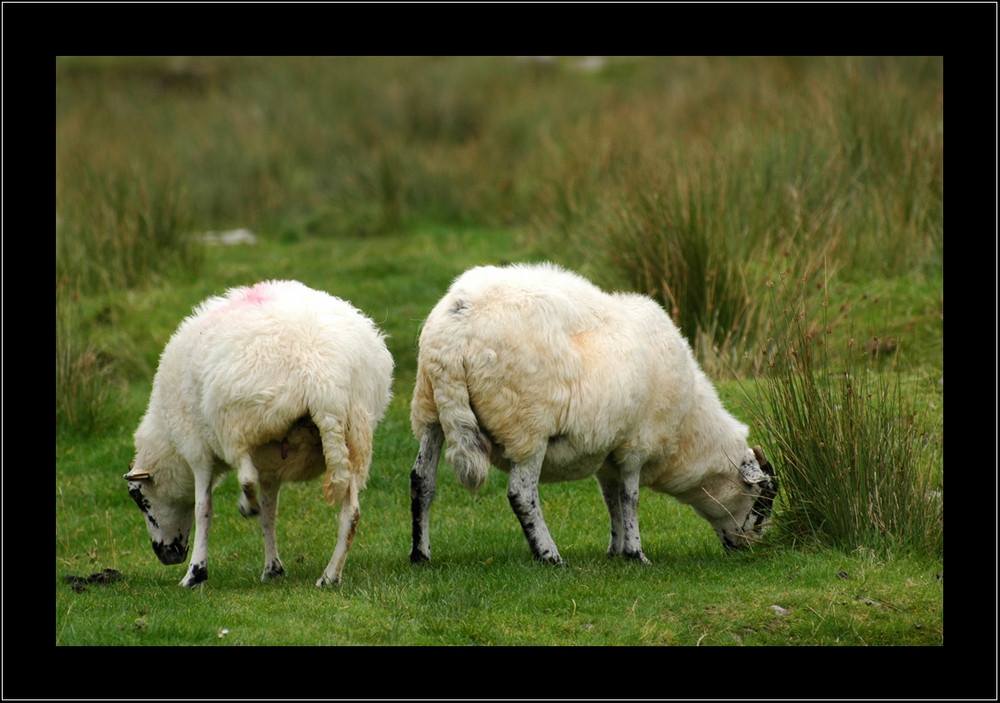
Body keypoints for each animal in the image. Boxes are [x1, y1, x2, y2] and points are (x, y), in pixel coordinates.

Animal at [123, 280, 392, 588]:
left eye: (139, 498)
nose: (167, 556)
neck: (168, 442)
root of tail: (324, 379)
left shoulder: (197, 449)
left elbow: (204, 509)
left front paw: (195, 573)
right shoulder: (273, 464)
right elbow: (269, 513)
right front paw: (272, 568)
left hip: (236, 423)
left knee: (246, 477)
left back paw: (245, 506)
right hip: (355, 436)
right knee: (351, 514)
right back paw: (329, 575)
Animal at [410, 262, 776, 568]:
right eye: (761, 503)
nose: (750, 549)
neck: (689, 431)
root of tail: (457, 327)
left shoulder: (608, 454)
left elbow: (611, 499)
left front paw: (616, 551)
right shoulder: (636, 444)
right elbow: (630, 499)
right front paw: (637, 554)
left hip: (431, 408)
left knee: (421, 480)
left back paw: (420, 555)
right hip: (525, 424)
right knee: (521, 494)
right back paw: (549, 555)